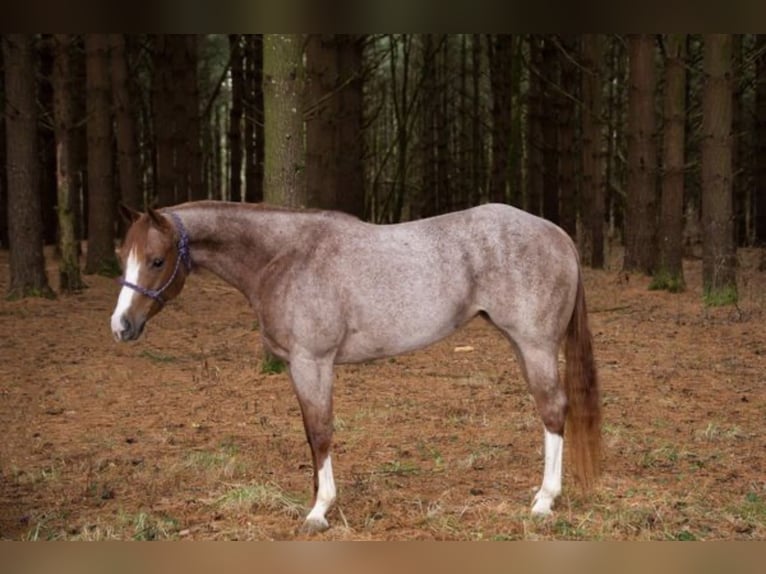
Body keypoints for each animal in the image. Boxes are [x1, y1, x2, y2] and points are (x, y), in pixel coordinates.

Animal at [111, 202, 604, 536]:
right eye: (123, 258)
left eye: (156, 260)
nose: (121, 325)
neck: (285, 257)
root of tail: (559, 234)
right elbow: (310, 433)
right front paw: (316, 498)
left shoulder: (313, 361)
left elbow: (320, 431)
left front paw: (319, 510)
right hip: (521, 345)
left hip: (536, 345)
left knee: (553, 411)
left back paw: (544, 502)